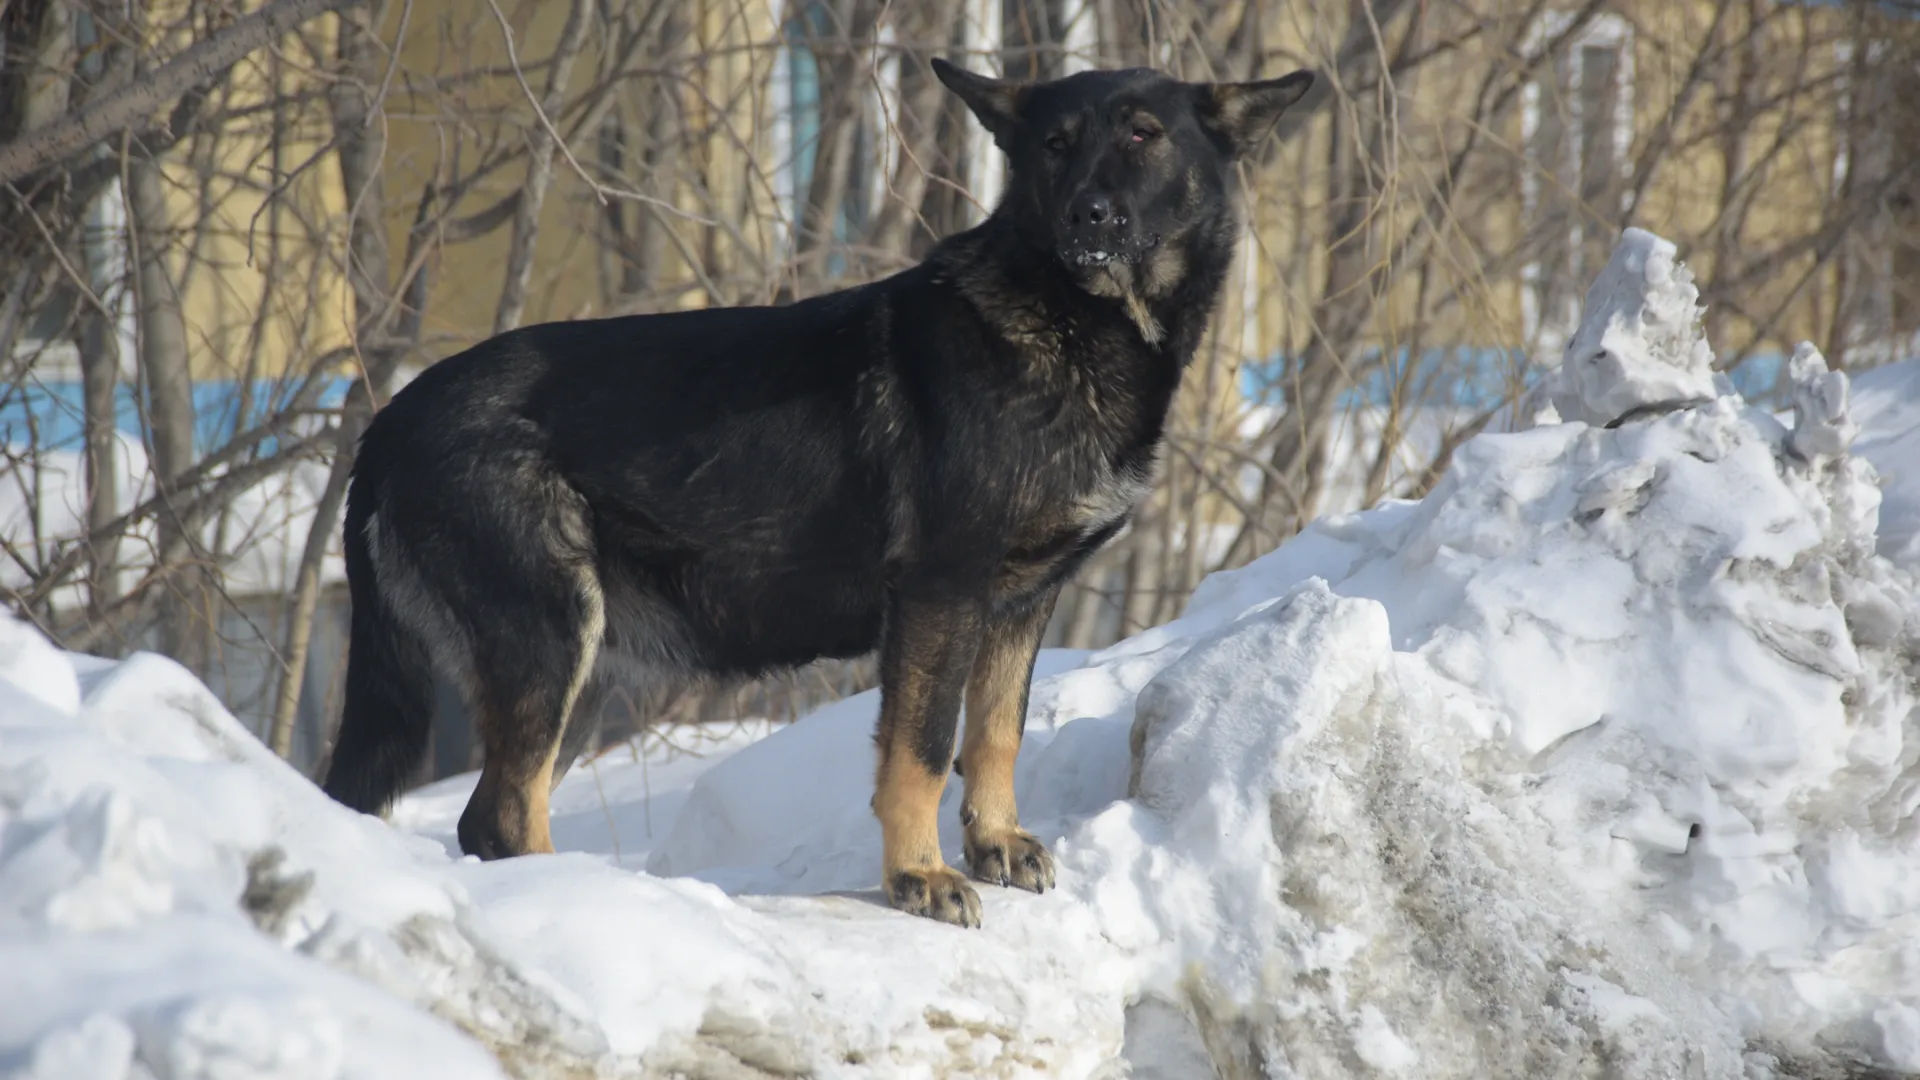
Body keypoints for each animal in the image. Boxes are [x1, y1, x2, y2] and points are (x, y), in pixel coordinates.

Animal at [326, 58, 1320, 922]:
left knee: (494, 812)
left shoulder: (1020, 604)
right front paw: (919, 877)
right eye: (1054, 145)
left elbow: (995, 732)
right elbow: (922, 749)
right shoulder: (939, 595)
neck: (1069, 324)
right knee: (498, 814)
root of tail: (387, 423)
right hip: (549, 641)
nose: (1089, 214)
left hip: (584, 670)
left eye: (1144, 134)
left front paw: (994, 845)